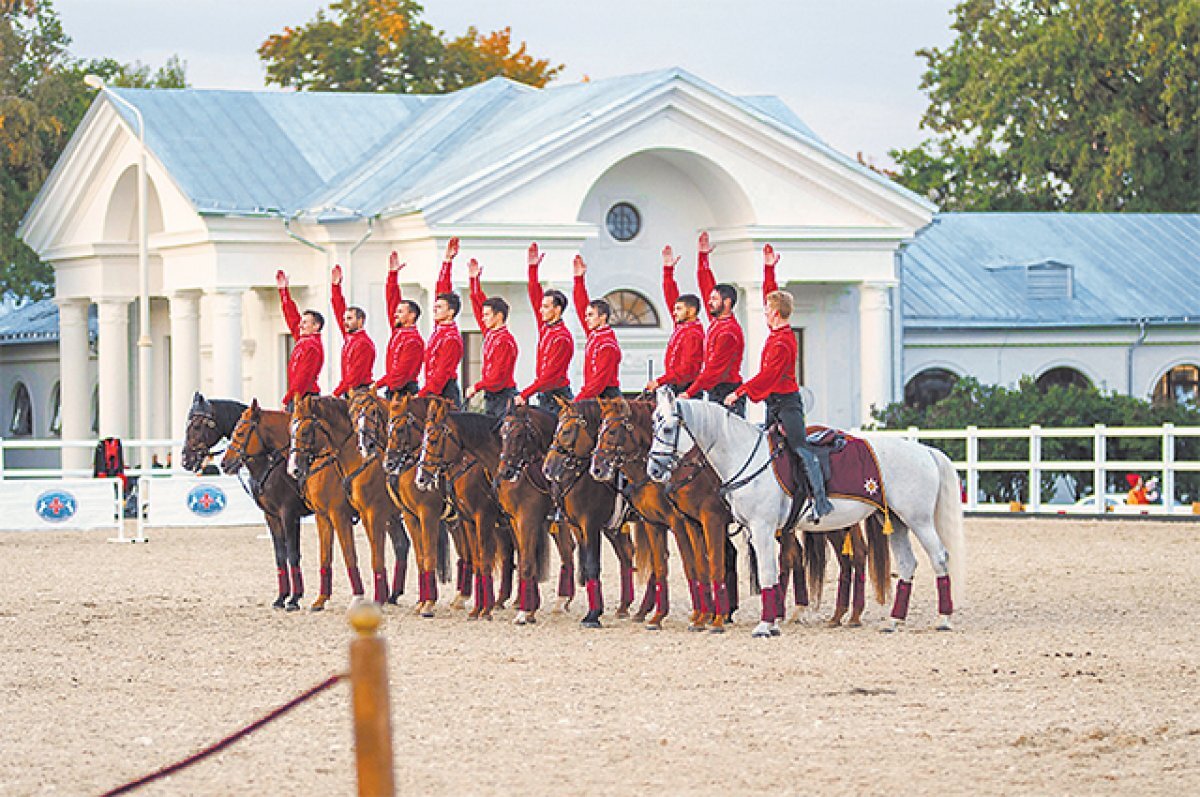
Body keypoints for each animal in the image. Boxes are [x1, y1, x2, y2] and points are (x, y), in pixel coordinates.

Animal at [184, 391, 312, 609]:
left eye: (197, 426)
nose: (185, 459)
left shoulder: (289, 514)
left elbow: (293, 553)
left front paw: (294, 599)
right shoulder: (272, 516)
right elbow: (280, 555)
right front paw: (281, 597)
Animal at [288, 396, 410, 607]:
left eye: (305, 431)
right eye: (291, 430)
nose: (293, 468)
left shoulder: (344, 515)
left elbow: (351, 555)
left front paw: (360, 597)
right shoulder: (323, 516)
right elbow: (325, 556)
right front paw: (321, 599)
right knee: (402, 545)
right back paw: (393, 595)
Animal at [540, 398, 648, 628]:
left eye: (567, 431)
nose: (547, 468)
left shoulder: (590, 526)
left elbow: (592, 564)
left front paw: (593, 615)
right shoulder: (577, 527)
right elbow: (587, 566)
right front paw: (594, 611)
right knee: (626, 555)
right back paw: (625, 607)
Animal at [590, 396, 739, 633]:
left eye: (612, 431)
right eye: (598, 430)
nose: (596, 469)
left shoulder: (681, 523)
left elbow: (691, 566)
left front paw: (702, 616)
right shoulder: (654, 523)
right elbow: (663, 566)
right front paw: (659, 616)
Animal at [648, 388, 964, 638]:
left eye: (667, 429)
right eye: (653, 425)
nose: (654, 469)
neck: (744, 454)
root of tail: (925, 451)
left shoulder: (761, 528)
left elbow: (766, 571)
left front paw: (763, 625)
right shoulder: (751, 529)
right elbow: (772, 571)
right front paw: (772, 622)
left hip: (918, 520)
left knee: (939, 558)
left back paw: (943, 618)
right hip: (896, 521)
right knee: (908, 564)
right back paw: (894, 621)